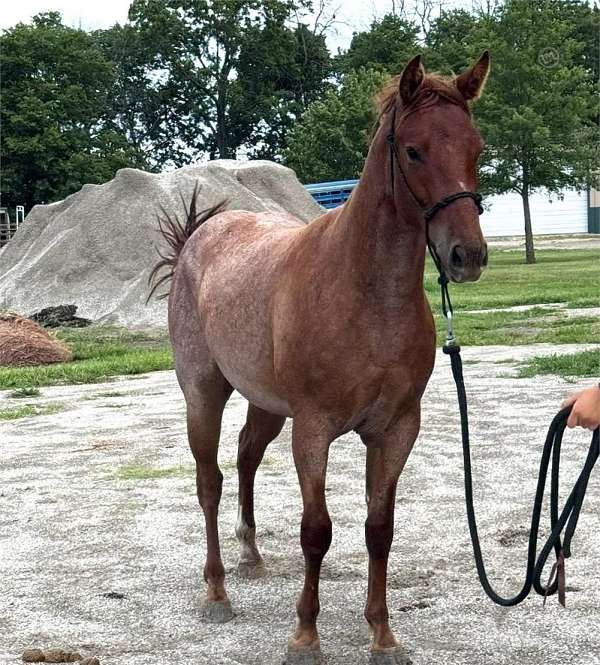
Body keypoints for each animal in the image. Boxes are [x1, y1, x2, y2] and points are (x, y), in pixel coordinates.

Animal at [152, 53, 490, 664]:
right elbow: (317, 530)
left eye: (476, 147)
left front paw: (383, 635)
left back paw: (250, 555)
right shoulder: (312, 429)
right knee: (210, 481)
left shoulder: (395, 429)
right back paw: (216, 592)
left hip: (266, 405)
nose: (467, 255)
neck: (366, 294)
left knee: (245, 456)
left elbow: (380, 528)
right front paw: (305, 635)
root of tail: (198, 235)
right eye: (414, 150)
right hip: (203, 395)